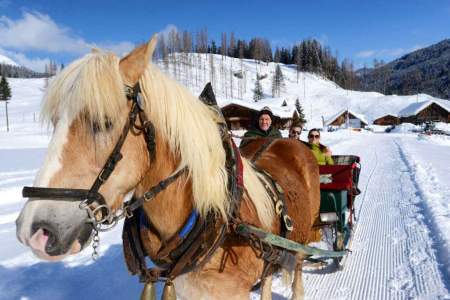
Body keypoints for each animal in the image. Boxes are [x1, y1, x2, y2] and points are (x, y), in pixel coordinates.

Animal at [15, 35, 320, 300]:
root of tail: (289, 141)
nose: (34, 232)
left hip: (303, 240)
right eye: (55, 122)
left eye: (104, 121)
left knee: (298, 270)